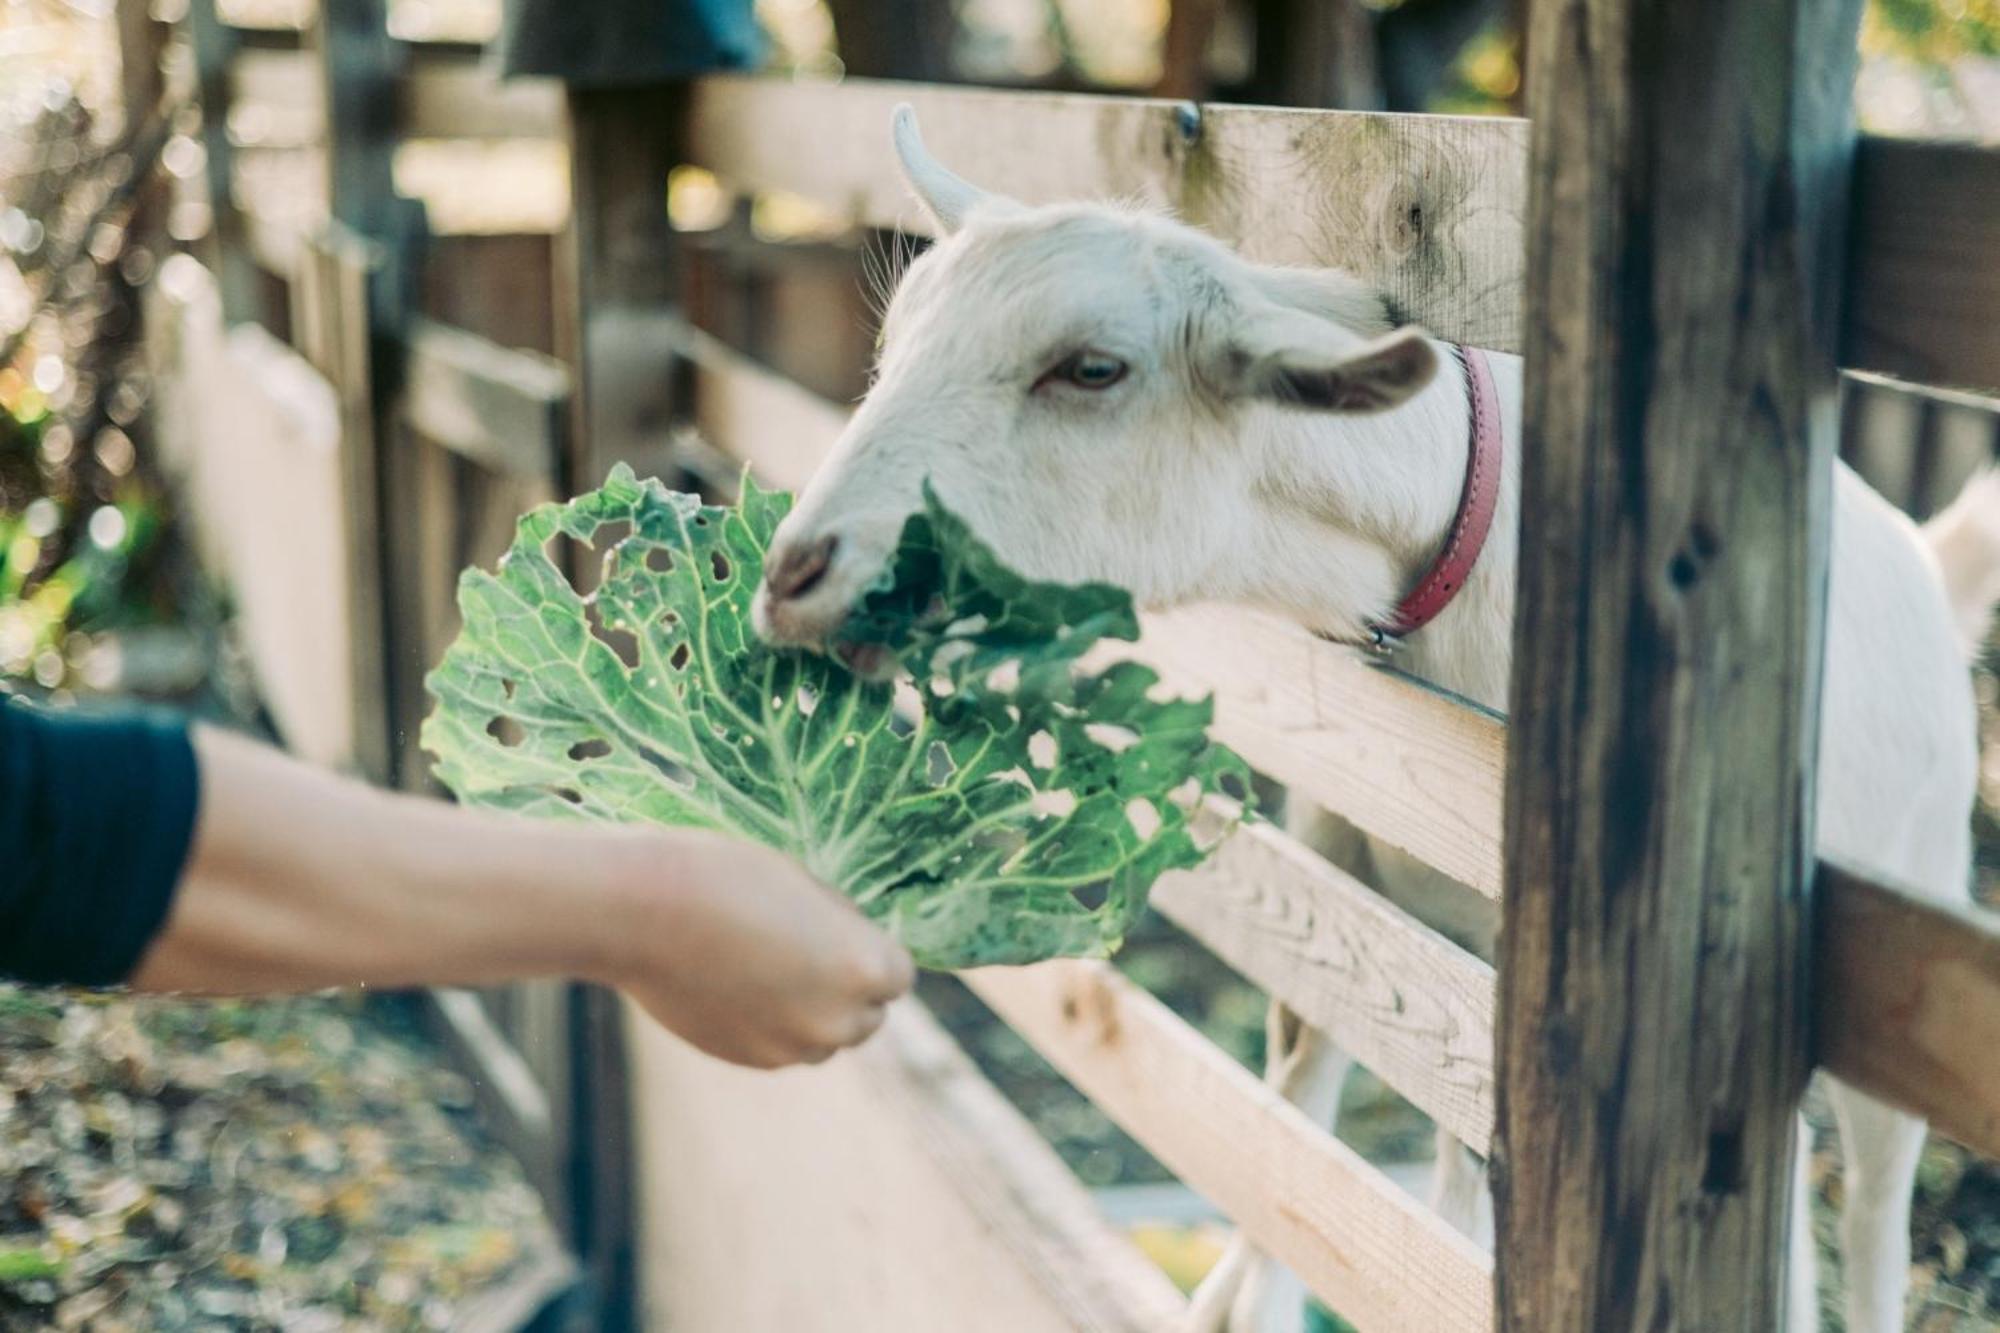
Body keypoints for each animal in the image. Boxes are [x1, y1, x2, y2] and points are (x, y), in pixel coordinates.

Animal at [752, 109, 2000, 1328]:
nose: (796, 574)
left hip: (1902, 913)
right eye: (895, 341)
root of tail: (1925, 566)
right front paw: (1234, 1296)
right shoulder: (1344, 862)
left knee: (1868, 1204)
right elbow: (1305, 1093)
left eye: (1092, 367)